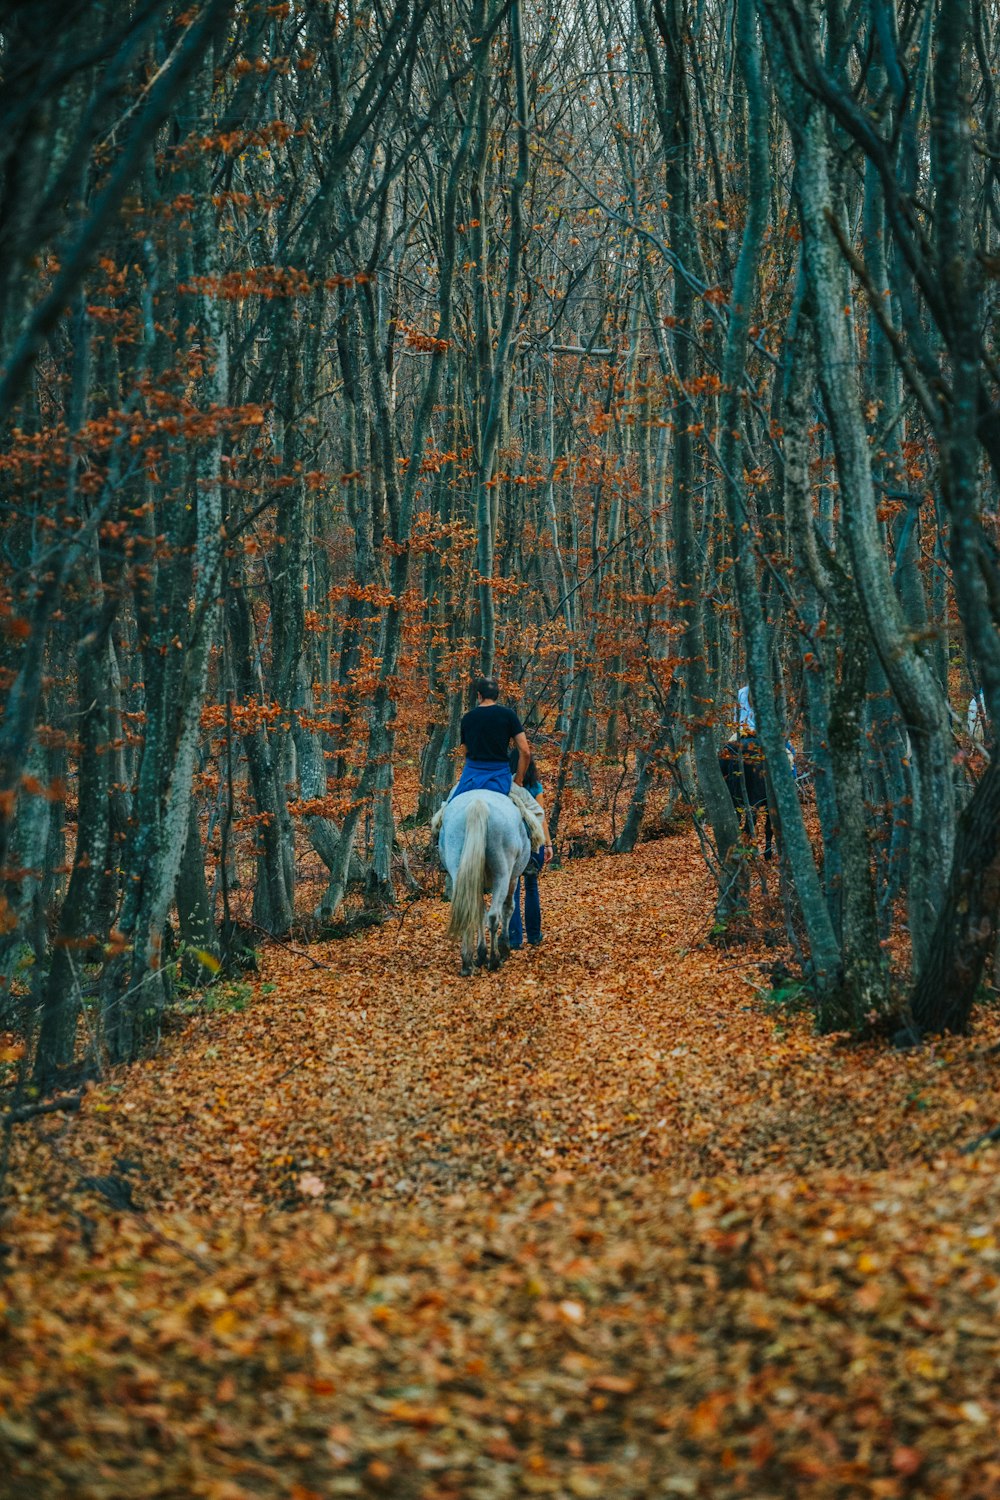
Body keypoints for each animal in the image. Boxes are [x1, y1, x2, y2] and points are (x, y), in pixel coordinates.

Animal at [437, 792, 530, 978]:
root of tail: (478, 803)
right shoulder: (513, 878)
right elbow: (508, 908)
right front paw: (503, 947)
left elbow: (480, 913)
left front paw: (480, 953)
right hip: (502, 874)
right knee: (494, 916)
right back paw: (494, 959)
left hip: (459, 869)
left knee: (470, 911)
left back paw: (467, 963)